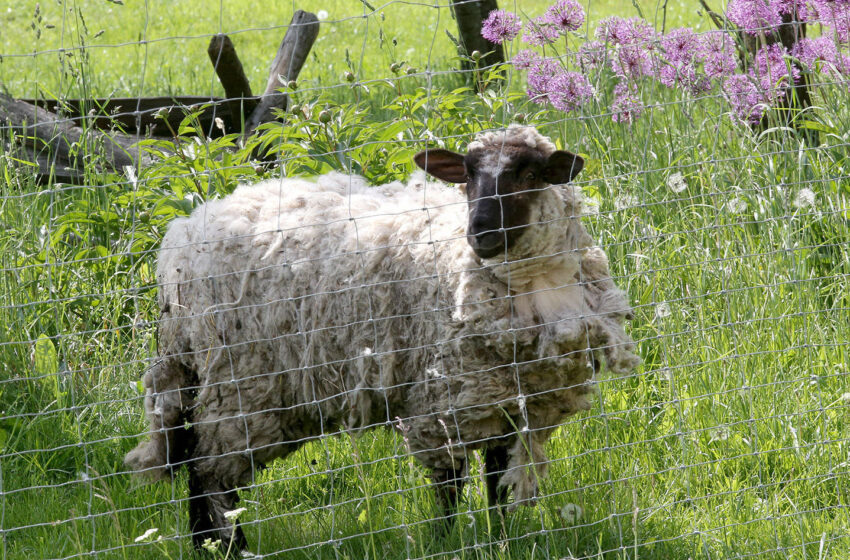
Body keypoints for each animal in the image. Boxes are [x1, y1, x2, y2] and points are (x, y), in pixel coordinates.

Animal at [124, 124, 636, 548]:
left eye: (529, 173)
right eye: (467, 177)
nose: (481, 233)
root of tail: (180, 237)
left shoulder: (510, 400)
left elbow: (498, 483)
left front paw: (501, 541)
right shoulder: (441, 400)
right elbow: (450, 484)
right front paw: (445, 542)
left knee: (197, 461)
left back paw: (207, 547)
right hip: (239, 382)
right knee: (209, 471)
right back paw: (230, 547)